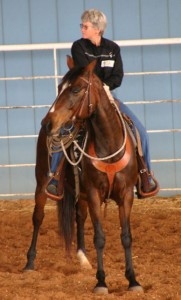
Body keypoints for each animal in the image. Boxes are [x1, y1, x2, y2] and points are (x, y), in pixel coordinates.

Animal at [23, 55, 143, 294]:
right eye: (59, 88)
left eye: (76, 89)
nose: (48, 122)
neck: (108, 144)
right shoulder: (95, 193)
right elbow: (99, 237)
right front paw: (101, 282)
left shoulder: (126, 194)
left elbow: (126, 236)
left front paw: (133, 280)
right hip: (42, 182)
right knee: (38, 217)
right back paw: (30, 263)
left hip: (81, 194)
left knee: (79, 216)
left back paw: (83, 258)